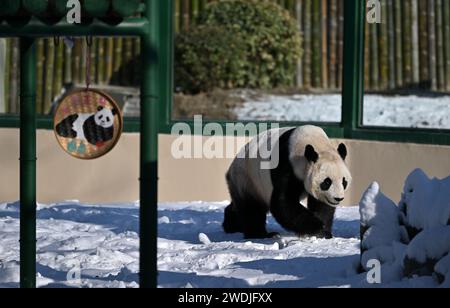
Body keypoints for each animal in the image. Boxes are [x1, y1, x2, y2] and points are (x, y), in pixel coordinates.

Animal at [223, 126, 354, 239]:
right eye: (327, 182)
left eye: (344, 182)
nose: (338, 198)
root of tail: (230, 169)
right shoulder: (286, 165)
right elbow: (283, 203)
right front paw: (317, 227)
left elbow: (322, 205)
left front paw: (324, 231)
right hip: (247, 178)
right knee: (251, 209)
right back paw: (260, 234)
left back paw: (232, 225)